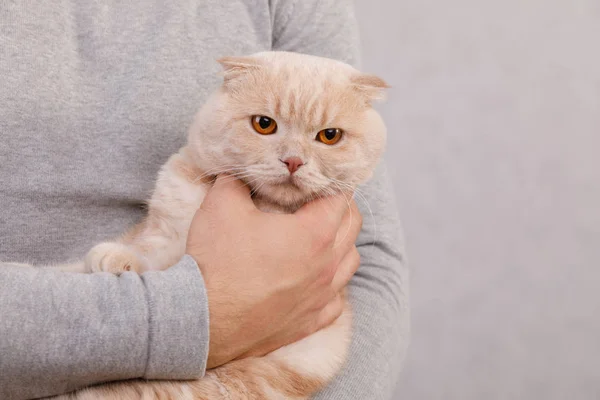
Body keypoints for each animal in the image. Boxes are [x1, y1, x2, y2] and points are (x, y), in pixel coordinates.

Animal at [43, 51, 390, 398]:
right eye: (264, 124)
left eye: (329, 136)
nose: (293, 160)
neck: (263, 202)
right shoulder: (164, 232)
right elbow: (149, 252)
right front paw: (117, 258)